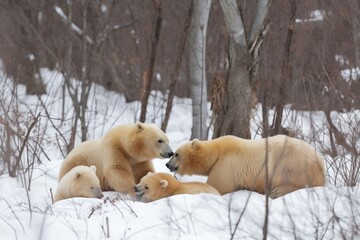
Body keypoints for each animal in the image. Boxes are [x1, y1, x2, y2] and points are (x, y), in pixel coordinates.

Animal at [166, 135, 326, 199]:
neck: (218, 152)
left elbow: (216, 187)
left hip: (291, 163)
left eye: (177, 154)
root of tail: (320, 160)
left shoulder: (226, 166)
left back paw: (277, 191)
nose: (167, 164)